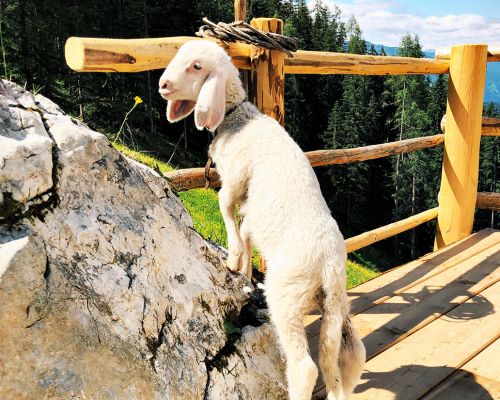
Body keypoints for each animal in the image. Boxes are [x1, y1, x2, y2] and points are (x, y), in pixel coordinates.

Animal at [160, 40, 368, 400]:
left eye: (196, 66)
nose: (163, 85)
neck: (236, 118)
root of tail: (329, 264)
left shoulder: (234, 180)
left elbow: (226, 210)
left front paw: (231, 260)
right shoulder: (251, 204)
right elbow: (246, 230)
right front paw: (243, 268)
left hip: (287, 293)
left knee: (305, 367)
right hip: (333, 306)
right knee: (338, 359)